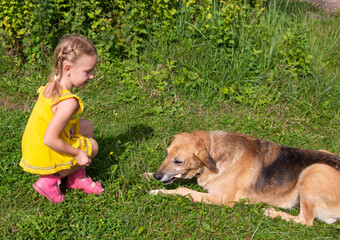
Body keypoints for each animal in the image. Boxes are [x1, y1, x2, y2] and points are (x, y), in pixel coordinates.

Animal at [150, 130, 340, 226]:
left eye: (178, 161)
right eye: (166, 153)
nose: (157, 176)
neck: (214, 151)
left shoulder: (222, 200)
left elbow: (182, 190)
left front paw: (158, 191)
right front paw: (147, 176)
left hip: (313, 170)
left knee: (306, 221)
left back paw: (272, 213)